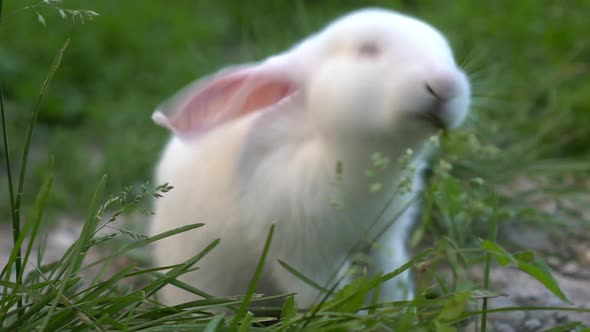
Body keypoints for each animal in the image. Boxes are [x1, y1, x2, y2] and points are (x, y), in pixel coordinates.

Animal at [151, 7, 472, 308]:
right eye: (367, 50)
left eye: (447, 52)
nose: (445, 85)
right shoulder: (302, 252)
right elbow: (320, 295)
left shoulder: (385, 241)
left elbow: (393, 283)